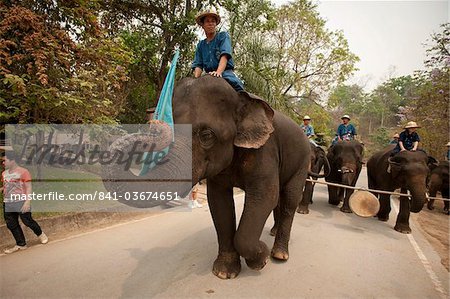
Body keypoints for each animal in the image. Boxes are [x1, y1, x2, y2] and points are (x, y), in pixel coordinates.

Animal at [102, 76, 312, 280]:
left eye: (206, 135)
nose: (152, 127)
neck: (240, 98)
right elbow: (219, 201)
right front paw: (225, 272)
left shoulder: (264, 150)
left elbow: (265, 196)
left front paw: (261, 259)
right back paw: (273, 233)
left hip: (303, 162)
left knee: (289, 199)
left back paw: (279, 254)